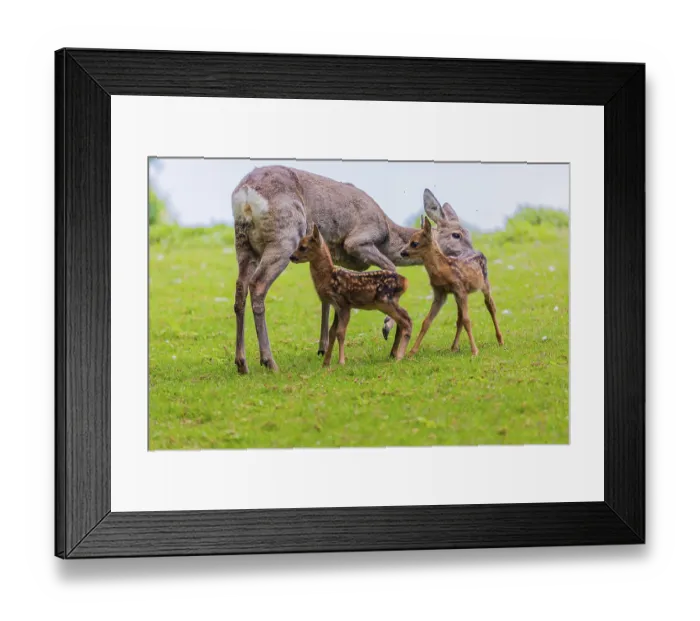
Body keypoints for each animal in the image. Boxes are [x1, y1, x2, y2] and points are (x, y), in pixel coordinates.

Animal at [289, 224, 413, 366]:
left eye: (303, 247)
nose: (291, 257)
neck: (328, 277)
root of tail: (405, 281)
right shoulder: (336, 306)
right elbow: (332, 332)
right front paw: (326, 363)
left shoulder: (344, 304)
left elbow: (340, 332)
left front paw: (341, 361)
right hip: (390, 301)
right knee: (404, 318)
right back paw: (394, 354)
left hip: (385, 301)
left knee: (406, 321)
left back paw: (399, 356)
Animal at [399, 215, 504, 357]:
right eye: (408, 240)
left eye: (414, 243)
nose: (402, 252)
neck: (443, 270)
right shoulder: (440, 293)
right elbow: (427, 321)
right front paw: (411, 352)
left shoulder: (460, 289)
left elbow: (467, 320)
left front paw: (475, 351)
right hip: (457, 295)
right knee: (459, 317)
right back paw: (454, 347)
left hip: (485, 283)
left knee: (491, 306)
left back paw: (500, 340)